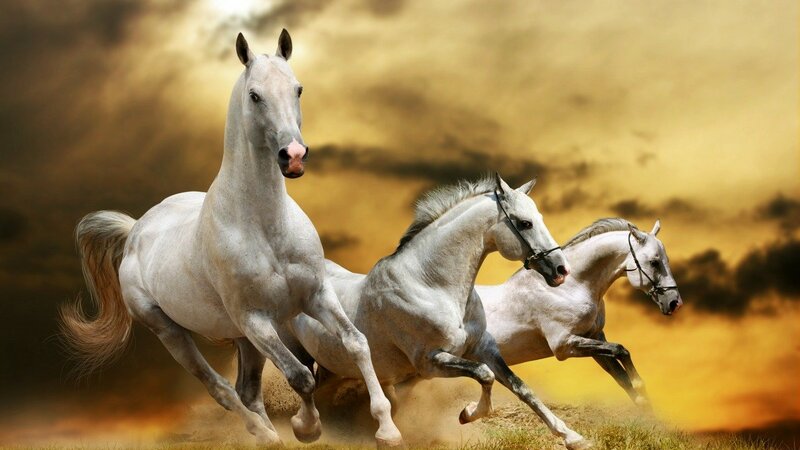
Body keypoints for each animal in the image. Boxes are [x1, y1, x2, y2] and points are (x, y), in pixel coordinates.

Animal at [59, 30, 402, 447]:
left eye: (298, 89)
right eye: (254, 95)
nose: (294, 156)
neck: (266, 229)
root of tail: (136, 228)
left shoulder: (315, 296)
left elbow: (355, 343)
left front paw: (387, 428)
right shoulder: (256, 319)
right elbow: (301, 376)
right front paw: (306, 428)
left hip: (242, 339)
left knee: (247, 391)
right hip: (172, 332)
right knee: (220, 389)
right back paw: (265, 435)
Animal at [280, 175, 590, 449]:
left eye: (540, 218)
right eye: (524, 223)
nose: (561, 270)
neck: (432, 285)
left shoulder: (483, 347)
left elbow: (520, 387)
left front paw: (573, 437)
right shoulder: (430, 362)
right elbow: (484, 375)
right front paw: (468, 414)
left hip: (332, 366)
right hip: (299, 353)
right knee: (300, 384)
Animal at [479, 218, 682, 406]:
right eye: (654, 262)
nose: (675, 302)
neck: (570, 287)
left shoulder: (594, 337)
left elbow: (623, 379)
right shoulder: (564, 345)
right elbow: (621, 350)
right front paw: (640, 384)